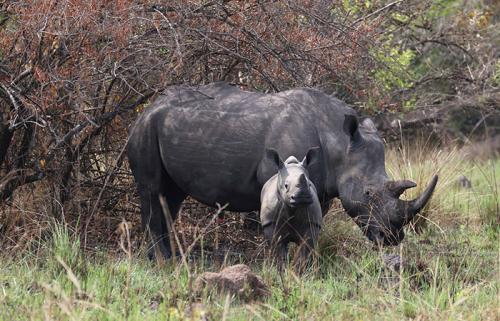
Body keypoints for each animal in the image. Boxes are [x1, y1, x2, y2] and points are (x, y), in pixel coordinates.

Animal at [128, 81, 438, 258]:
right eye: (369, 194)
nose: (392, 238)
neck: (339, 141)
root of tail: (148, 107)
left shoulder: (319, 187)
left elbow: (312, 222)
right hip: (145, 129)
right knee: (152, 191)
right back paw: (162, 261)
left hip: (165, 128)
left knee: (171, 196)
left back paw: (174, 258)